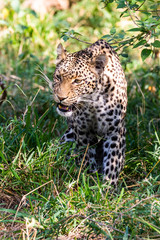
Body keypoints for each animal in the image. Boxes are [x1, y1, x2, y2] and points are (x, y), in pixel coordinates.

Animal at [52, 39, 127, 186]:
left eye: (77, 81)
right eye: (58, 77)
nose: (60, 97)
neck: (93, 101)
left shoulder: (115, 131)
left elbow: (112, 162)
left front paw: (108, 188)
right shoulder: (83, 132)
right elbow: (86, 159)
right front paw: (89, 180)